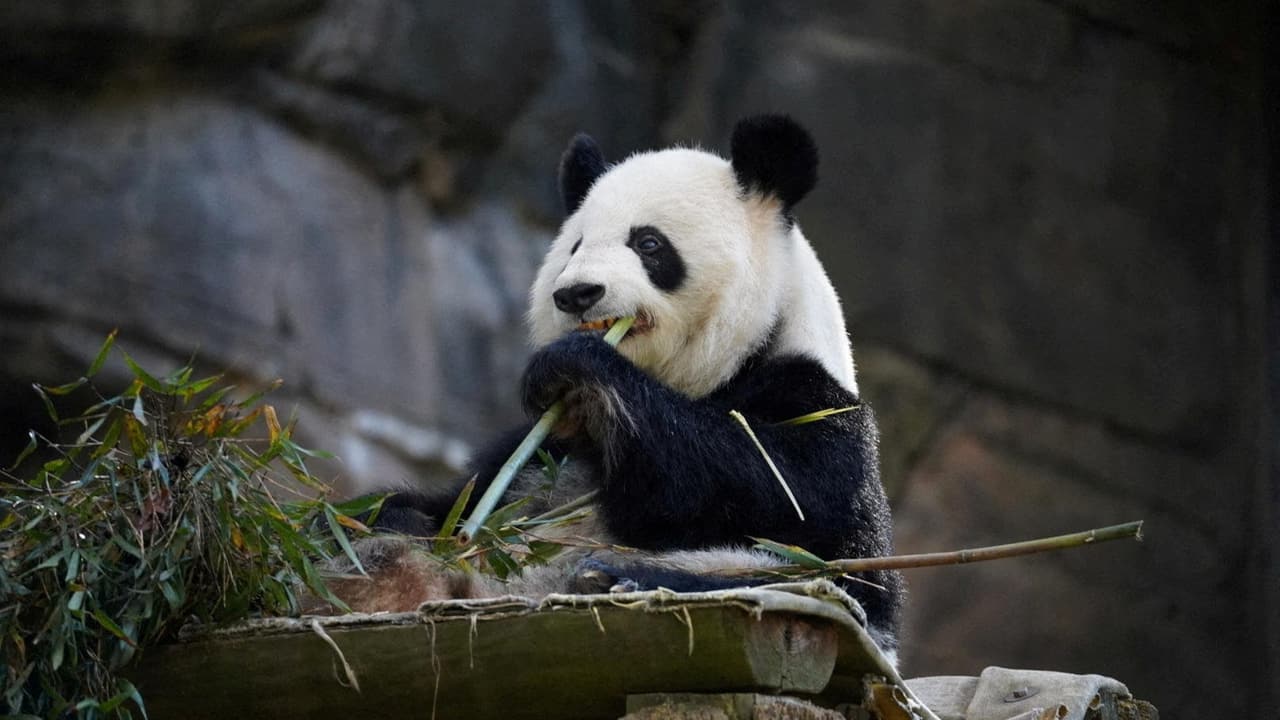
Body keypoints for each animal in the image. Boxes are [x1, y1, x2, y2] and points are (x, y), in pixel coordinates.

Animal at [335, 112, 906, 655]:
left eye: (648, 243)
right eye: (574, 247)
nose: (578, 293)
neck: (712, 374)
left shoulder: (810, 401)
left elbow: (788, 502)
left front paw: (574, 364)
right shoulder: (535, 450)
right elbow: (457, 505)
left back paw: (604, 578)